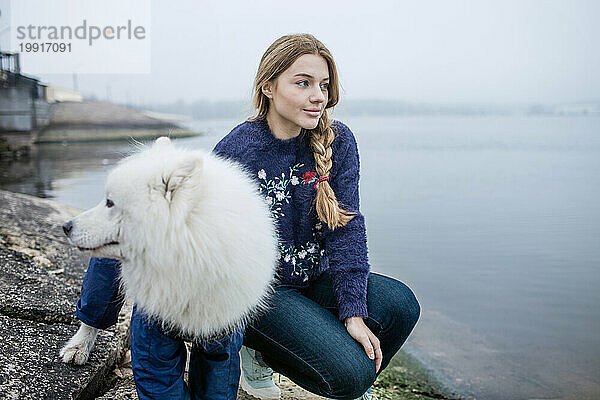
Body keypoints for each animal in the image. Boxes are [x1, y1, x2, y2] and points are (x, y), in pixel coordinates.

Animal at [58, 138, 278, 366]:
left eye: (110, 203)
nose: (66, 226)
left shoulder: (220, 332)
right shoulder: (153, 328)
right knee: (93, 312)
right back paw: (78, 347)